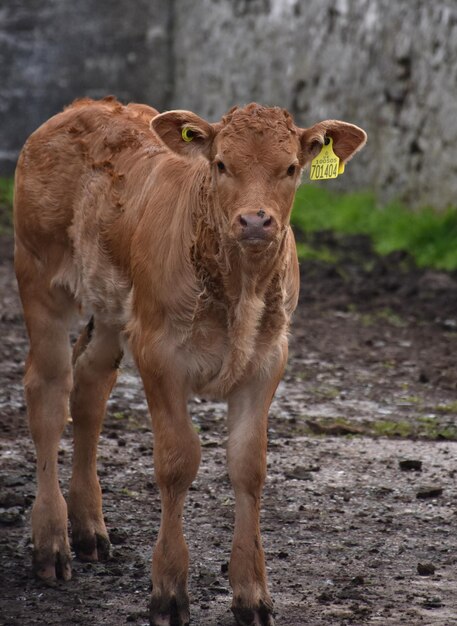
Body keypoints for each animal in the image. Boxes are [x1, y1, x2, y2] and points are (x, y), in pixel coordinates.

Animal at [12, 97, 366, 624]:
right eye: (221, 165)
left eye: (290, 168)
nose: (256, 222)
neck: (239, 288)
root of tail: (82, 107)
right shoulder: (160, 354)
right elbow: (178, 461)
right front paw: (169, 592)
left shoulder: (268, 360)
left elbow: (249, 465)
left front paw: (252, 595)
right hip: (38, 274)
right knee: (50, 393)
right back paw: (51, 542)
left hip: (114, 310)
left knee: (90, 385)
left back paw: (90, 527)